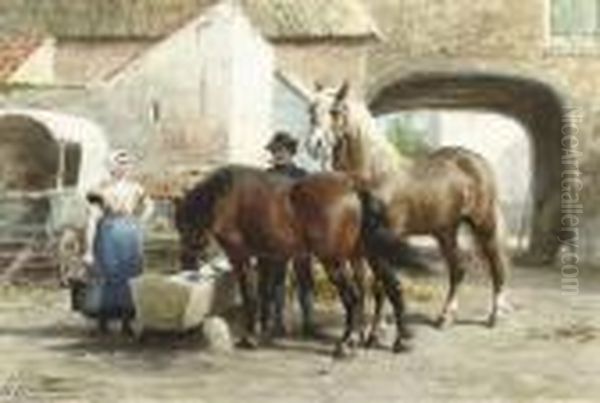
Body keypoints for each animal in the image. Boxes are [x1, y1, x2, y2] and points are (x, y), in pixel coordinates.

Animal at [173, 166, 412, 356]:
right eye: (179, 224)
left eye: (186, 222)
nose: (187, 262)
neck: (227, 198)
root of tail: (353, 185)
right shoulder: (266, 257)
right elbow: (266, 293)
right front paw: (263, 331)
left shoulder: (241, 257)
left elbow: (250, 295)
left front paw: (249, 337)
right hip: (372, 255)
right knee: (391, 288)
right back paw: (396, 340)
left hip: (334, 261)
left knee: (354, 297)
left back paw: (346, 343)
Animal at [310, 83, 510, 332]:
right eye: (310, 110)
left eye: (335, 111)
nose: (314, 144)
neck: (377, 174)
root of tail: (477, 161)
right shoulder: (362, 242)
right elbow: (364, 281)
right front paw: (365, 326)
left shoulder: (383, 239)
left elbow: (379, 282)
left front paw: (379, 327)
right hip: (445, 231)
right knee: (457, 270)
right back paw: (445, 318)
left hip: (484, 225)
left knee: (496, 265)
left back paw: (494, 316)